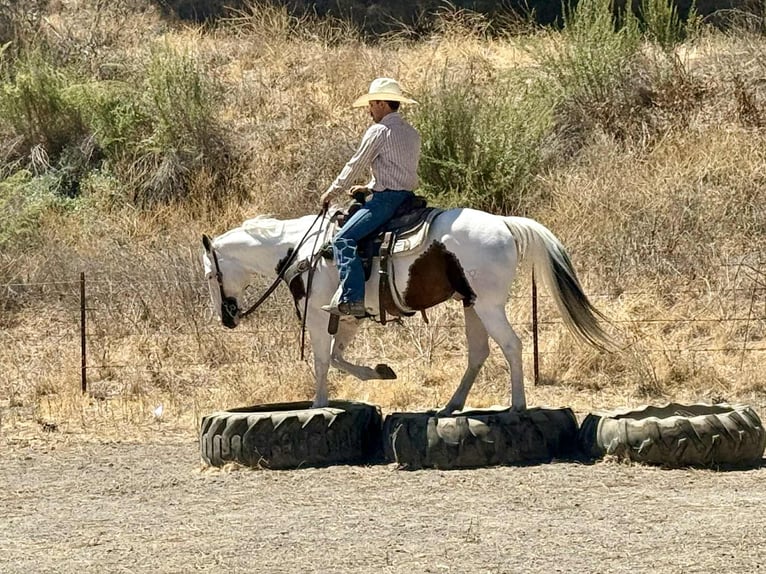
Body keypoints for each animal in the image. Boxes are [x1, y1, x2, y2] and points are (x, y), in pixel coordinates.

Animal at [201, 207, 612, 414]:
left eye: (209, 275)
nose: (227, 317)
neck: (302, 250)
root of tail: (506, 224)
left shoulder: (317, 314)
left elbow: (321, 359)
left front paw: (318, 405)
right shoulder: (347, 317)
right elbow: (337, 357)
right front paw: (380, 372)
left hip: (489, 305)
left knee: (511, 345)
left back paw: (517, 405)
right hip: (472, 304)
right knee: (479, 353)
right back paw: (451, 406)